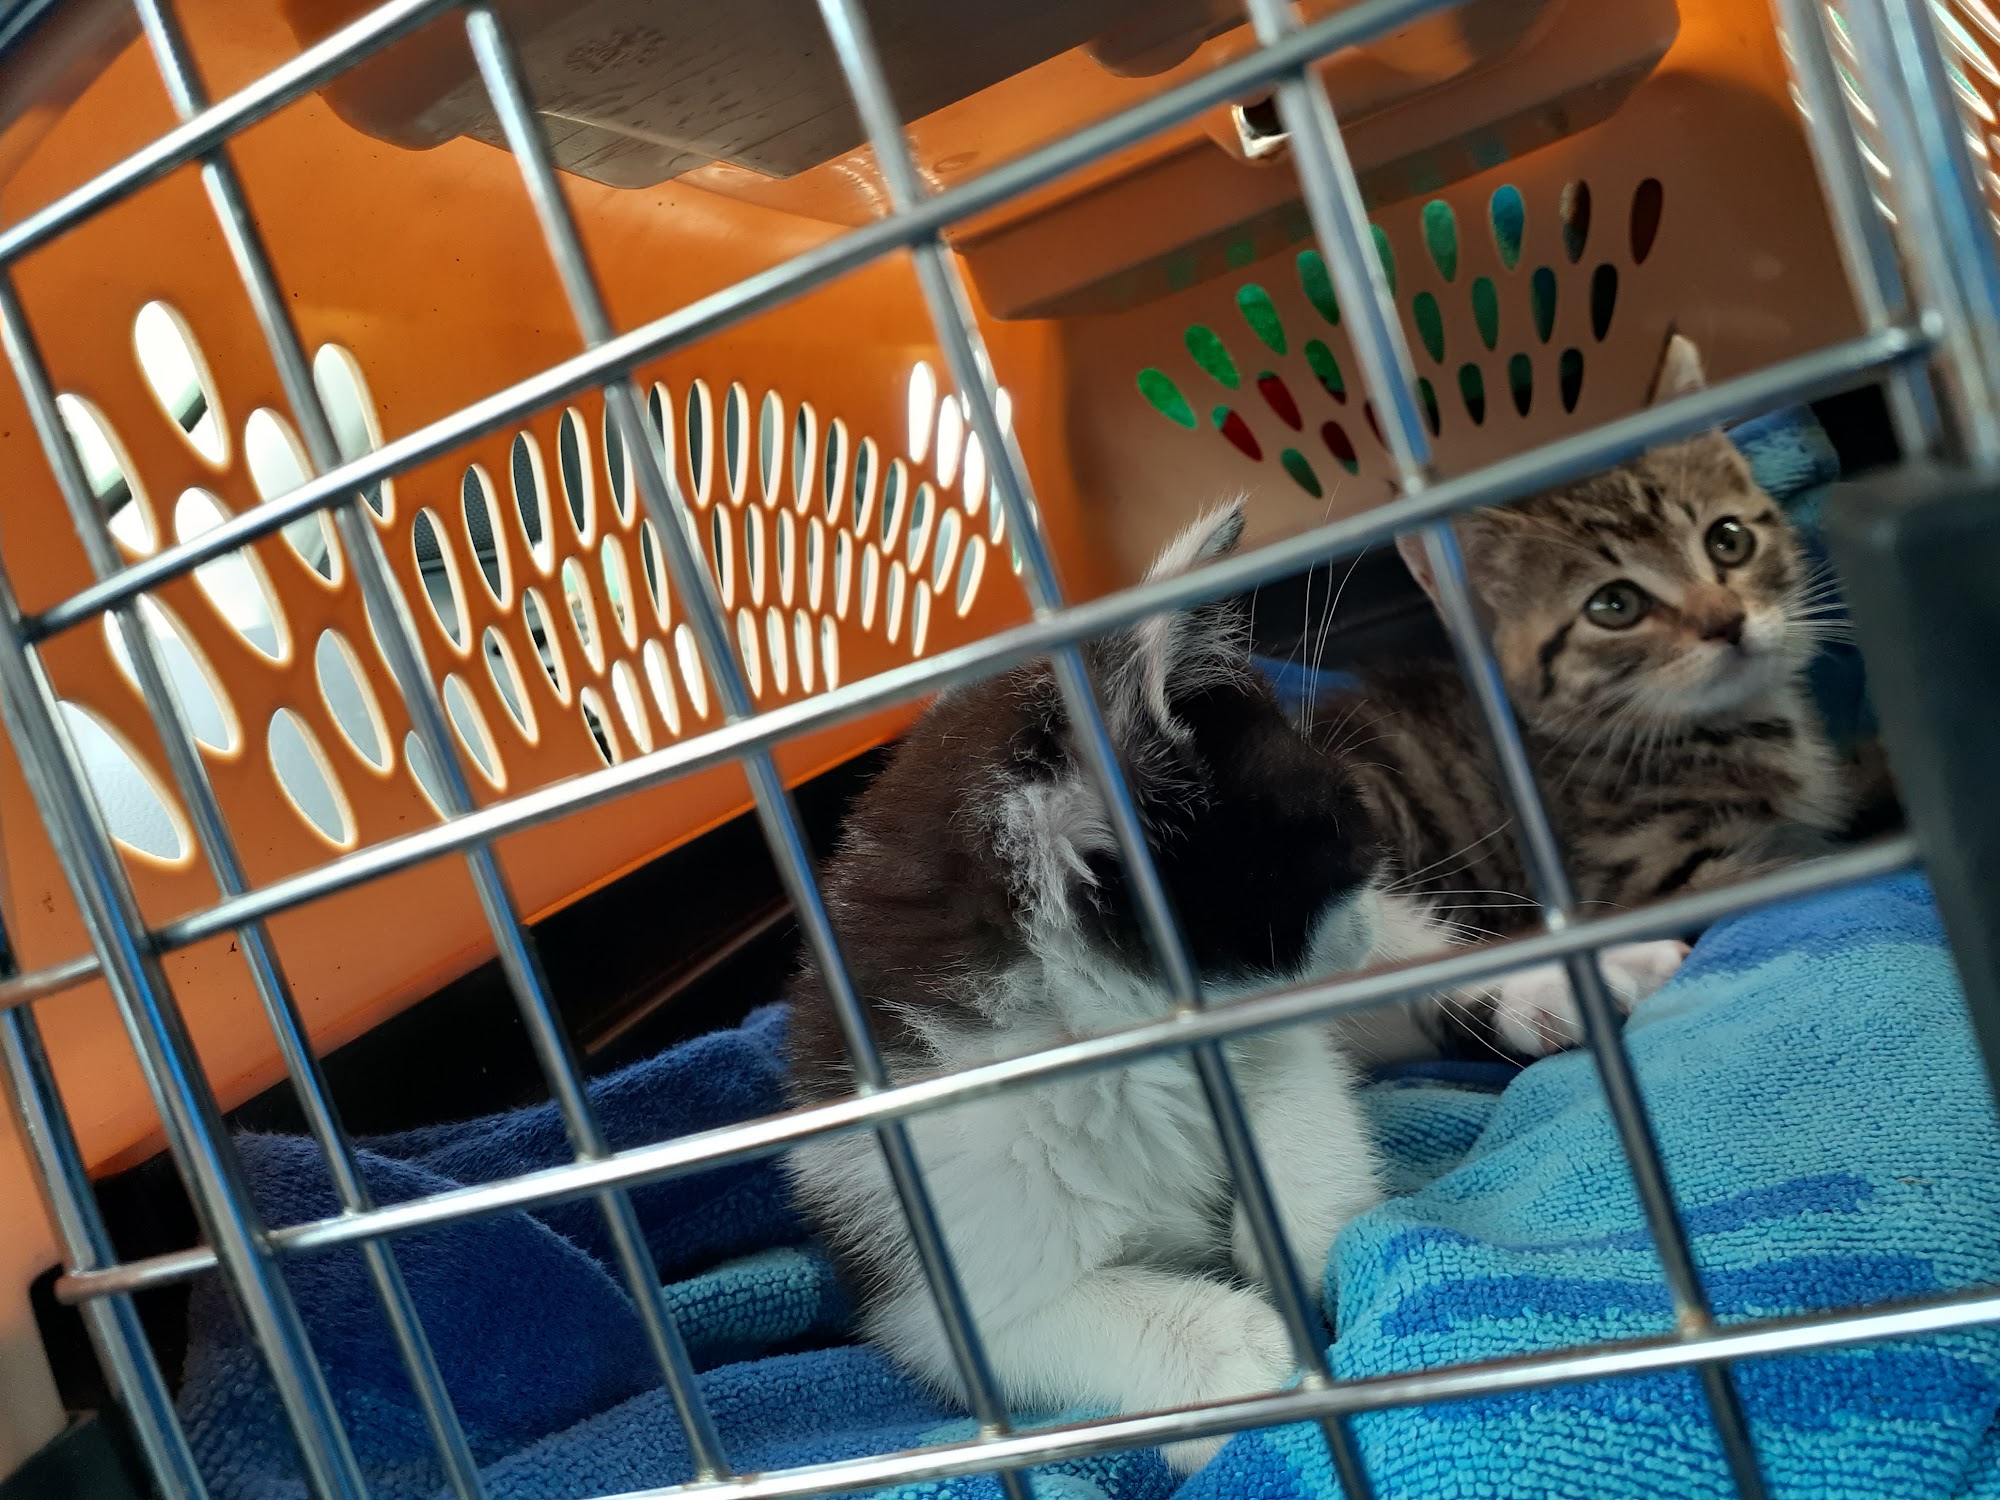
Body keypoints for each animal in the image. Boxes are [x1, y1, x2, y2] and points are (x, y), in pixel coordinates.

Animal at [782, 504, 1441, 1474]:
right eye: (1346, 828)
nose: (1362, 925)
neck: (1112, 1047)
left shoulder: (1273, 1025)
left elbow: (1299, 1083)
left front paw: (1293, 1231)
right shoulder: (926, 1256)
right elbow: (1028, 1326)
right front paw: (1240, 1361)